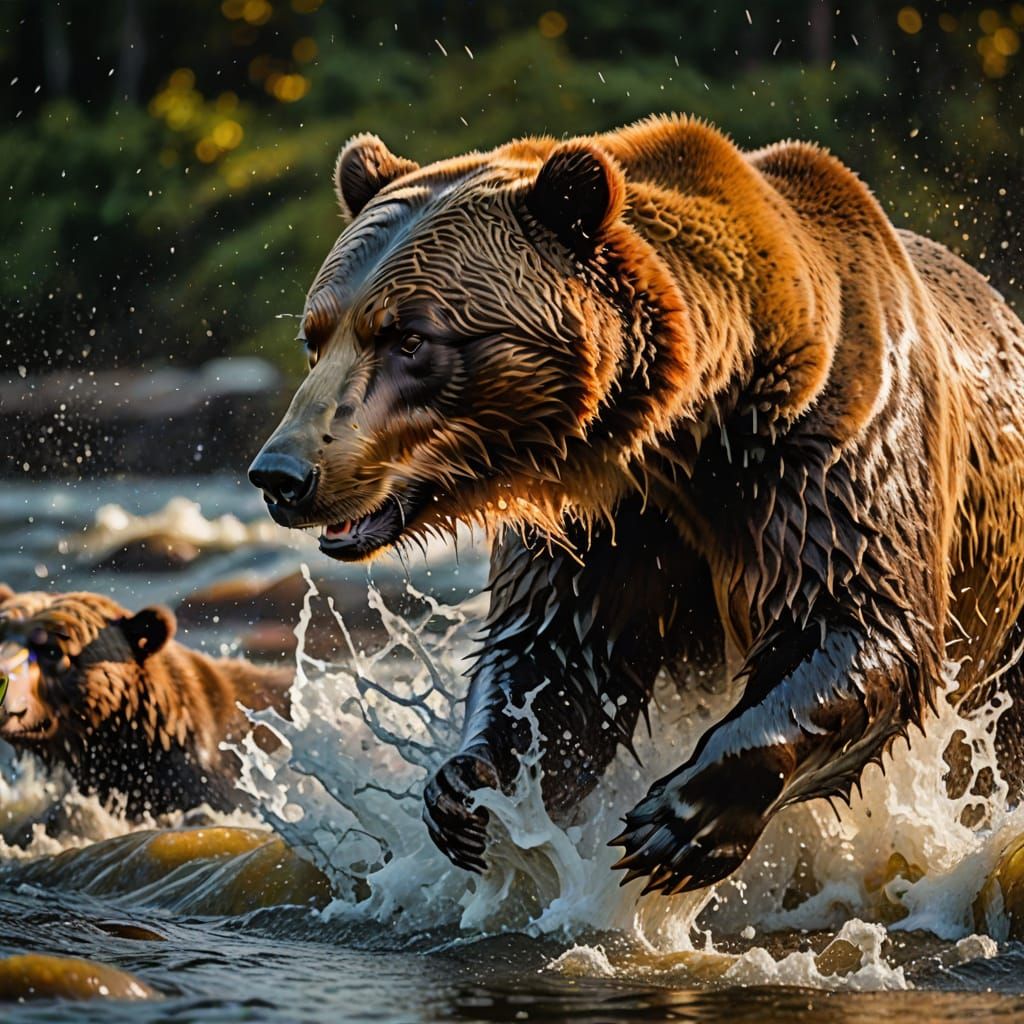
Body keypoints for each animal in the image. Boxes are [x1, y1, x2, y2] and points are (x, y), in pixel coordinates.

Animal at [248, 114, 1024, 894]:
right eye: (316, 336)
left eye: (409, 336)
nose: (281, 473)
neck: (689, 429)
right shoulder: (606, 521)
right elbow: (555, 658)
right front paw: (468, 791)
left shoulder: (819, 450)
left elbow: (856, 617)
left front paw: (676, 823)